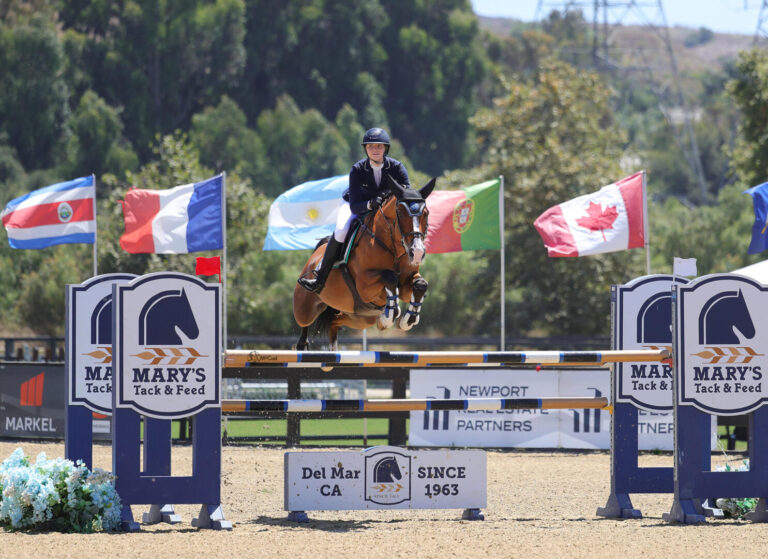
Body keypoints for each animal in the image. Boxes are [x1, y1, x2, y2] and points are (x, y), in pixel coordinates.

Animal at [294, 176, 436, 350]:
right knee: (304, 326)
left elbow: (420, 285)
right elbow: (389, 278)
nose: (417, 252)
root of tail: (314, 256)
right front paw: (388, 317)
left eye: (426, 213)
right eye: (400, 212)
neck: (393, 247)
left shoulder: (406, 282)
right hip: (305, 309)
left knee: (334, 322)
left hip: (359, 317)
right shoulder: (364, 285)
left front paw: (406, 320)